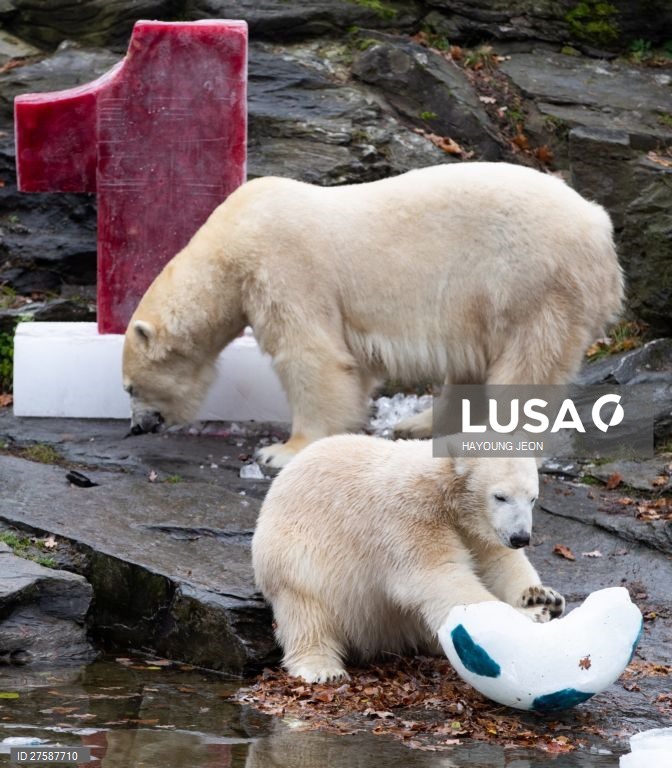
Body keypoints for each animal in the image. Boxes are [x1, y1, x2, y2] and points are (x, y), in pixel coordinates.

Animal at [122, 162, 623, 467]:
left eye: (130, 387)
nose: (137, 426)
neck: (233, 240)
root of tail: (599, 225)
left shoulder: (286, 266)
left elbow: (312, 356)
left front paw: (282, 451)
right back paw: (419, 424)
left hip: (531, 283)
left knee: (525, 370)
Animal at [251, 434, 564, 683]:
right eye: (500, 496)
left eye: (532, 498)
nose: (520, 537)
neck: (444, 488)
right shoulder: (409, 517)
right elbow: (439, 574)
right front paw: (523, 618)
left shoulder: (477, 528)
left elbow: (498, 562)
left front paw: (541, 599)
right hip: (296, 555)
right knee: (306, 612)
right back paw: (322, 669)